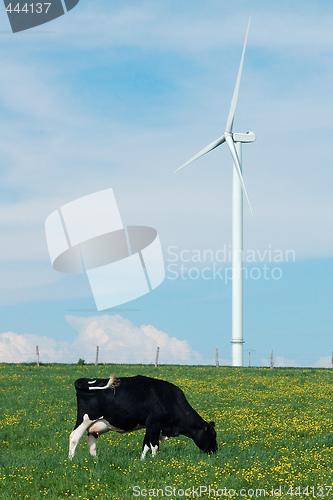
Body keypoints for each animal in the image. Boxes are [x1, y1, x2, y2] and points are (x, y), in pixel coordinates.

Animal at [68, 374, 217, 458]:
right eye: (212, 435)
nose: (215, 451)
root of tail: (87, 380)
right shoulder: (154, 424)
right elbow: (155, 446)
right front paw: (155, 461)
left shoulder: (150, 426)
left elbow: (146, 445)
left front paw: (143, 461)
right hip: (85, 419)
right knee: (74, 437)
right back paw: (71, 460)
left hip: (94, 425)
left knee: (91, 442)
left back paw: (96, 461)